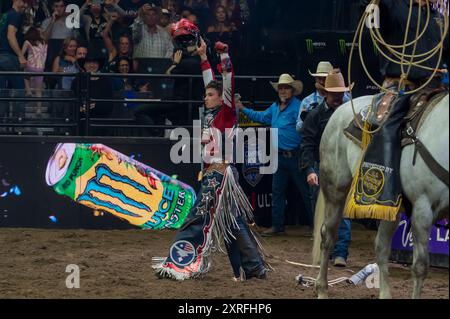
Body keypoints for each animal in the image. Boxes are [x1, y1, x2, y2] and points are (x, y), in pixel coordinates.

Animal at [312, 93, 450, 300]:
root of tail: (338, 110)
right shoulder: (422, 209)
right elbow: (420, 266)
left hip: (389, 208)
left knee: (381, 247)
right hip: (335, 191)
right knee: (328, 236)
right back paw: (322, 290)